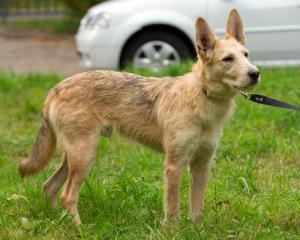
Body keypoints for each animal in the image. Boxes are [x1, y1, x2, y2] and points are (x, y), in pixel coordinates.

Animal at [18, 8, 258, 224]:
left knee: (49, 186)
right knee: (67, 196)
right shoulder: (174, 164)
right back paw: (78, 228)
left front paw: (196, 231)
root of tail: (56, 88)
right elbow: (172, 211)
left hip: (74, 157)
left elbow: (196, 209)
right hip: (84, 155)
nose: (255, 73)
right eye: (228, 59)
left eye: (246, 55)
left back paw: (56, 220)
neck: (202, 97)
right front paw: (174, 232)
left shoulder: (202, 163)